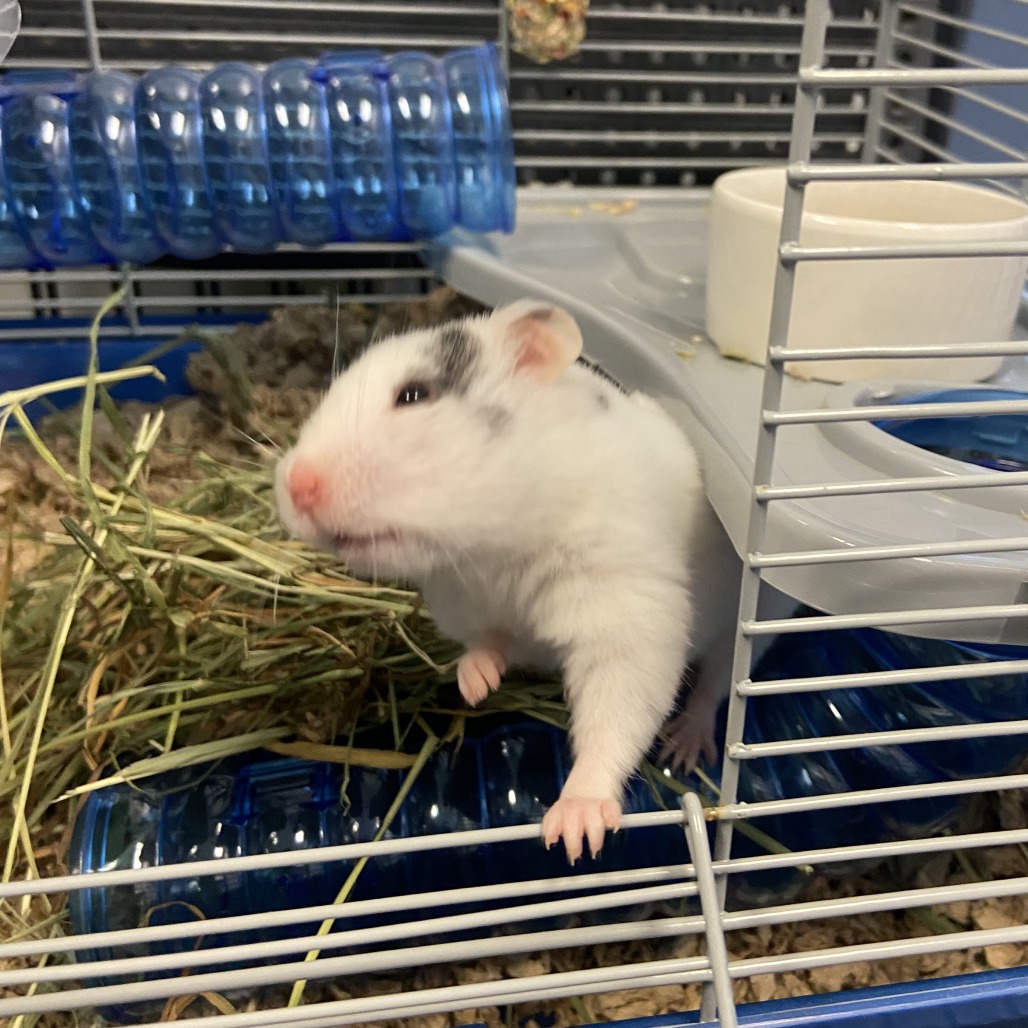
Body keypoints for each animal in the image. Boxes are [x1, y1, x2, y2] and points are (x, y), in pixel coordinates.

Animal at [275, 299, 737, 862]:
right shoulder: (470, 606)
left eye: (413, 395)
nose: (294, 485)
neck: (491, 551)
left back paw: (684, 747)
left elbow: (615, 715)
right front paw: (475, 686)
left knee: (714, 684)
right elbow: (489, 643)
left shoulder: (628, 614)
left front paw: (574, 833)